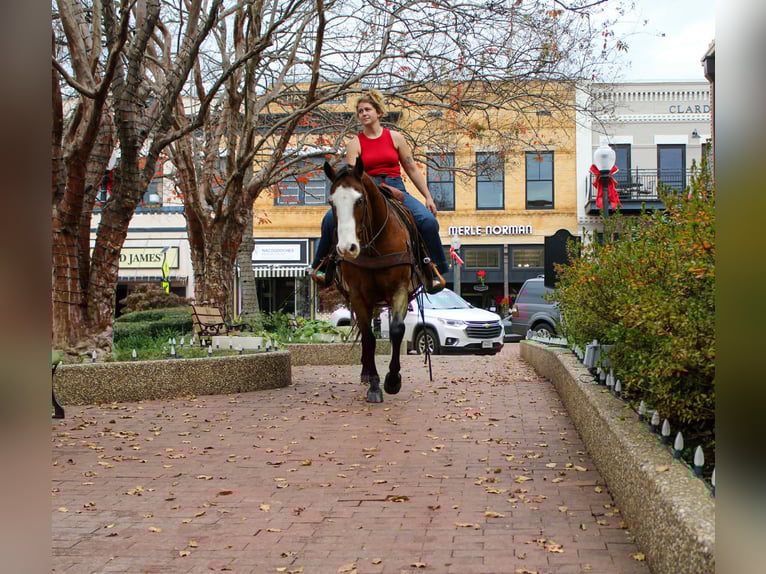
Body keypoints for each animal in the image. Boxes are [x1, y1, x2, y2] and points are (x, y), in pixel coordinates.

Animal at [323, 157, 426, 403]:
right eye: (331, 202)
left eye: (359, 200)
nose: (347, 248)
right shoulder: (358, 295)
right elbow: (369, 338)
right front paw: (374, 384)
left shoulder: (399, 289)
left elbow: (396, 330)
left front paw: (393, 381)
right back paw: (366, 373)